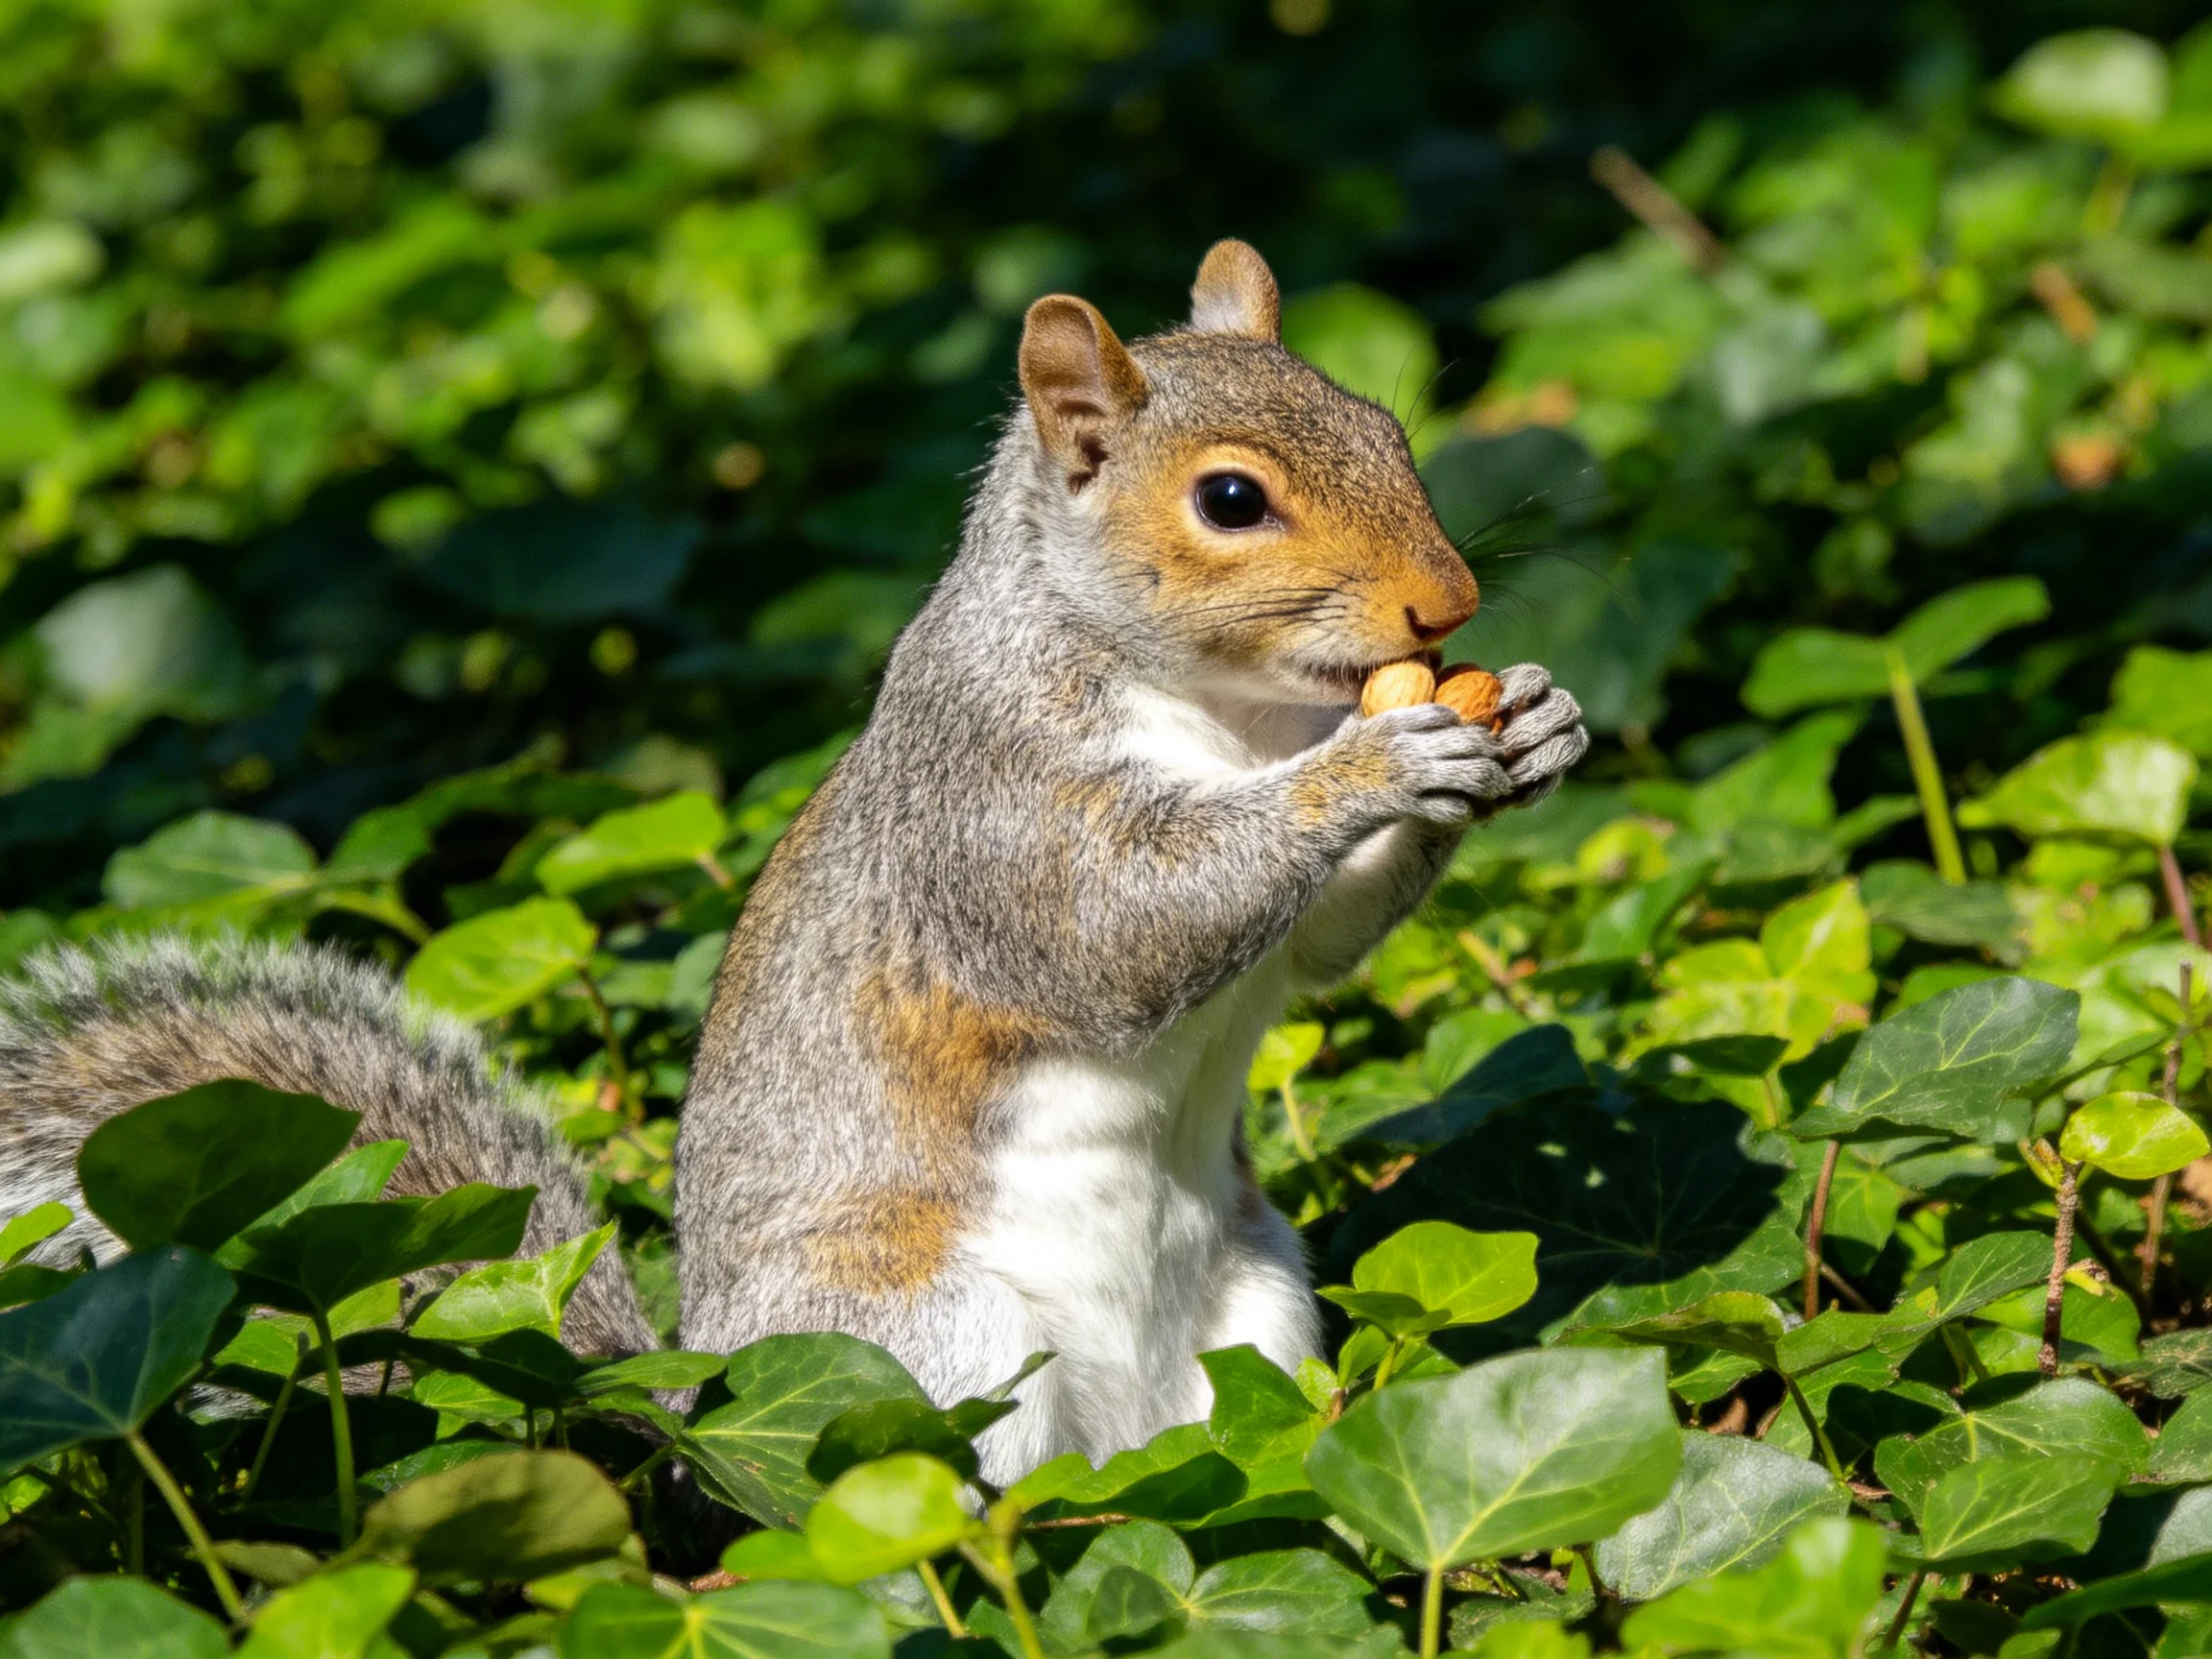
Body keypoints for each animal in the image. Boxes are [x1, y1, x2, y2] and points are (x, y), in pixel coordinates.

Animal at [0, 242, 1587, 1484]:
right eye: (1233, 502)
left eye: (1386, 425)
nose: (1448, 602)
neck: (1228, 711)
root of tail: (690, 1419)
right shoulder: (988, 814)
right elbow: (1120, 932)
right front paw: (1376, 767)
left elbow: (1311, 949)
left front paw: (1533, 723)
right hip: (929, 1356)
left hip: (1260, 1308)